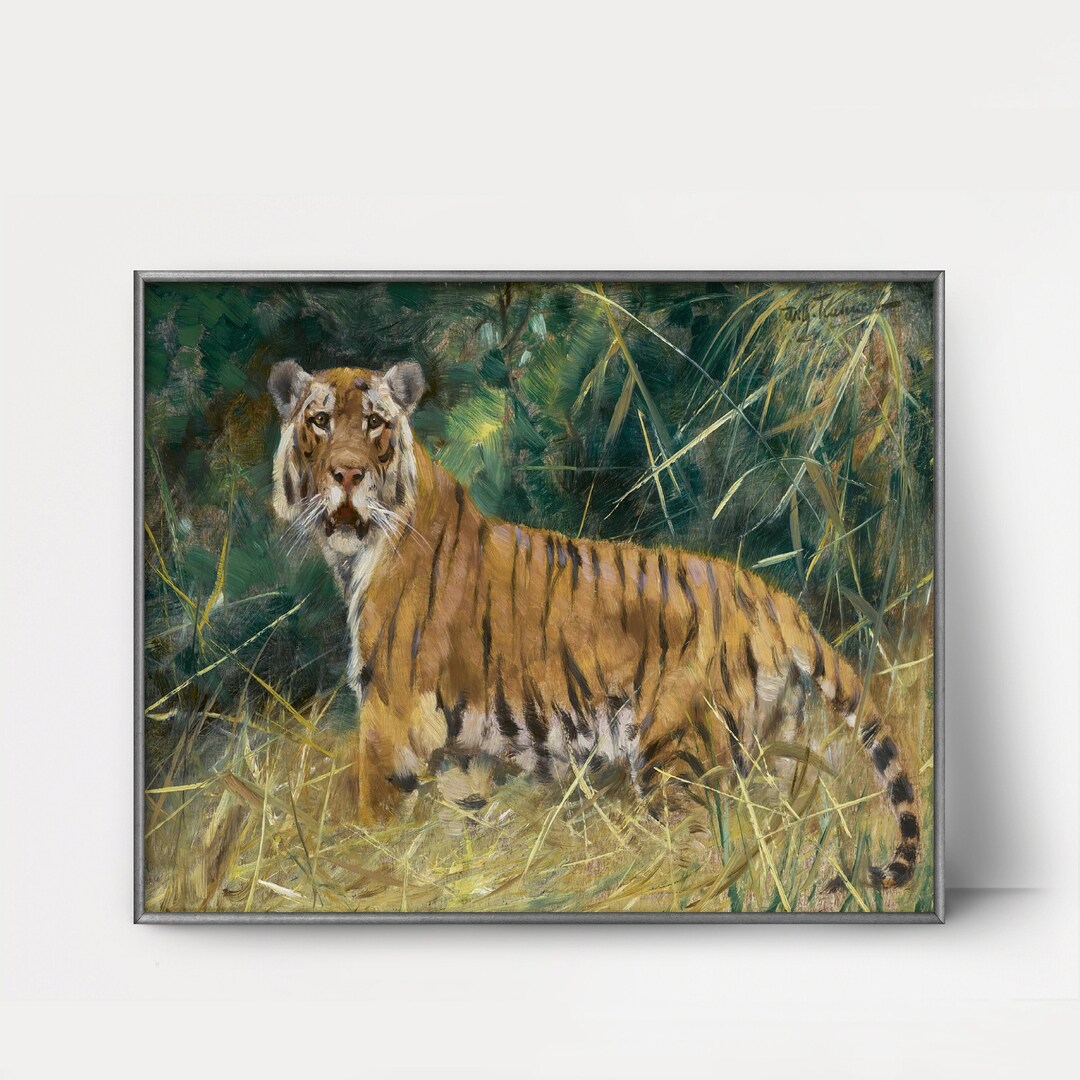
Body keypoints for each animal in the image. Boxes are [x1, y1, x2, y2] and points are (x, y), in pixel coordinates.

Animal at [268, 358, 920, 890]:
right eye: (320, 421)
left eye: (375, 423)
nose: (347, 474)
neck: (356, 554)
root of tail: (773, 597)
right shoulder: (459, 752)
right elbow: (459, 824)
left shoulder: (391, 720)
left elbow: (372, 821)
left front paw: (362, 868)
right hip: (778, 752)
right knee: (781, 832)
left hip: (677, 757)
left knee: (704, 851)